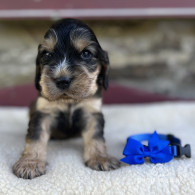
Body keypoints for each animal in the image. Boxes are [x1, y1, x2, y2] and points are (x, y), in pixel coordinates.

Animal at [12, 19, 120, 179]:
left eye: (86, 53)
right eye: (47, 54)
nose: (62, 80)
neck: (69, 101)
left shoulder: (92, 112)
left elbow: (95, 136)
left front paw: (100, 158)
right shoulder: (43, 113)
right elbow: (35, 138)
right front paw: (30, 163)